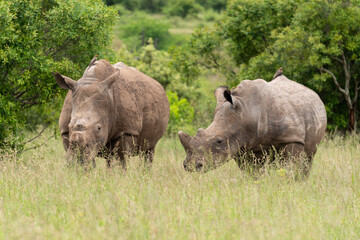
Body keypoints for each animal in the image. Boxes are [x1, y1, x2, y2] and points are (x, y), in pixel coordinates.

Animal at [179, 72, 328, 175]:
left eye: (219, 141)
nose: (191, 166)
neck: (245, 114)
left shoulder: (292, 138)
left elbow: (291, 167)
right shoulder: (240, 146)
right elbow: (251, 172)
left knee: (308, 158)